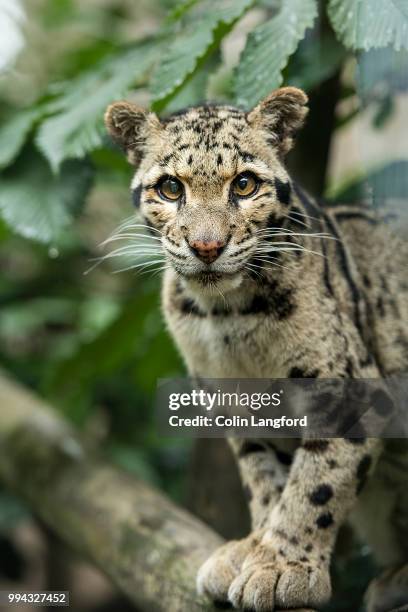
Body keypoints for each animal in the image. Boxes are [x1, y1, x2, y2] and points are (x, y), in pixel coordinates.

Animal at [105, 87, 408, 612]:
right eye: (171, 189)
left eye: (244, 185)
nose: (207, 246)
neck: (226, 318)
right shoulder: (237, 403)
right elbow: (266, 480)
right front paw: (253, 550)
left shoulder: (352, 392)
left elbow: (316, 484)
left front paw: (284, 566)